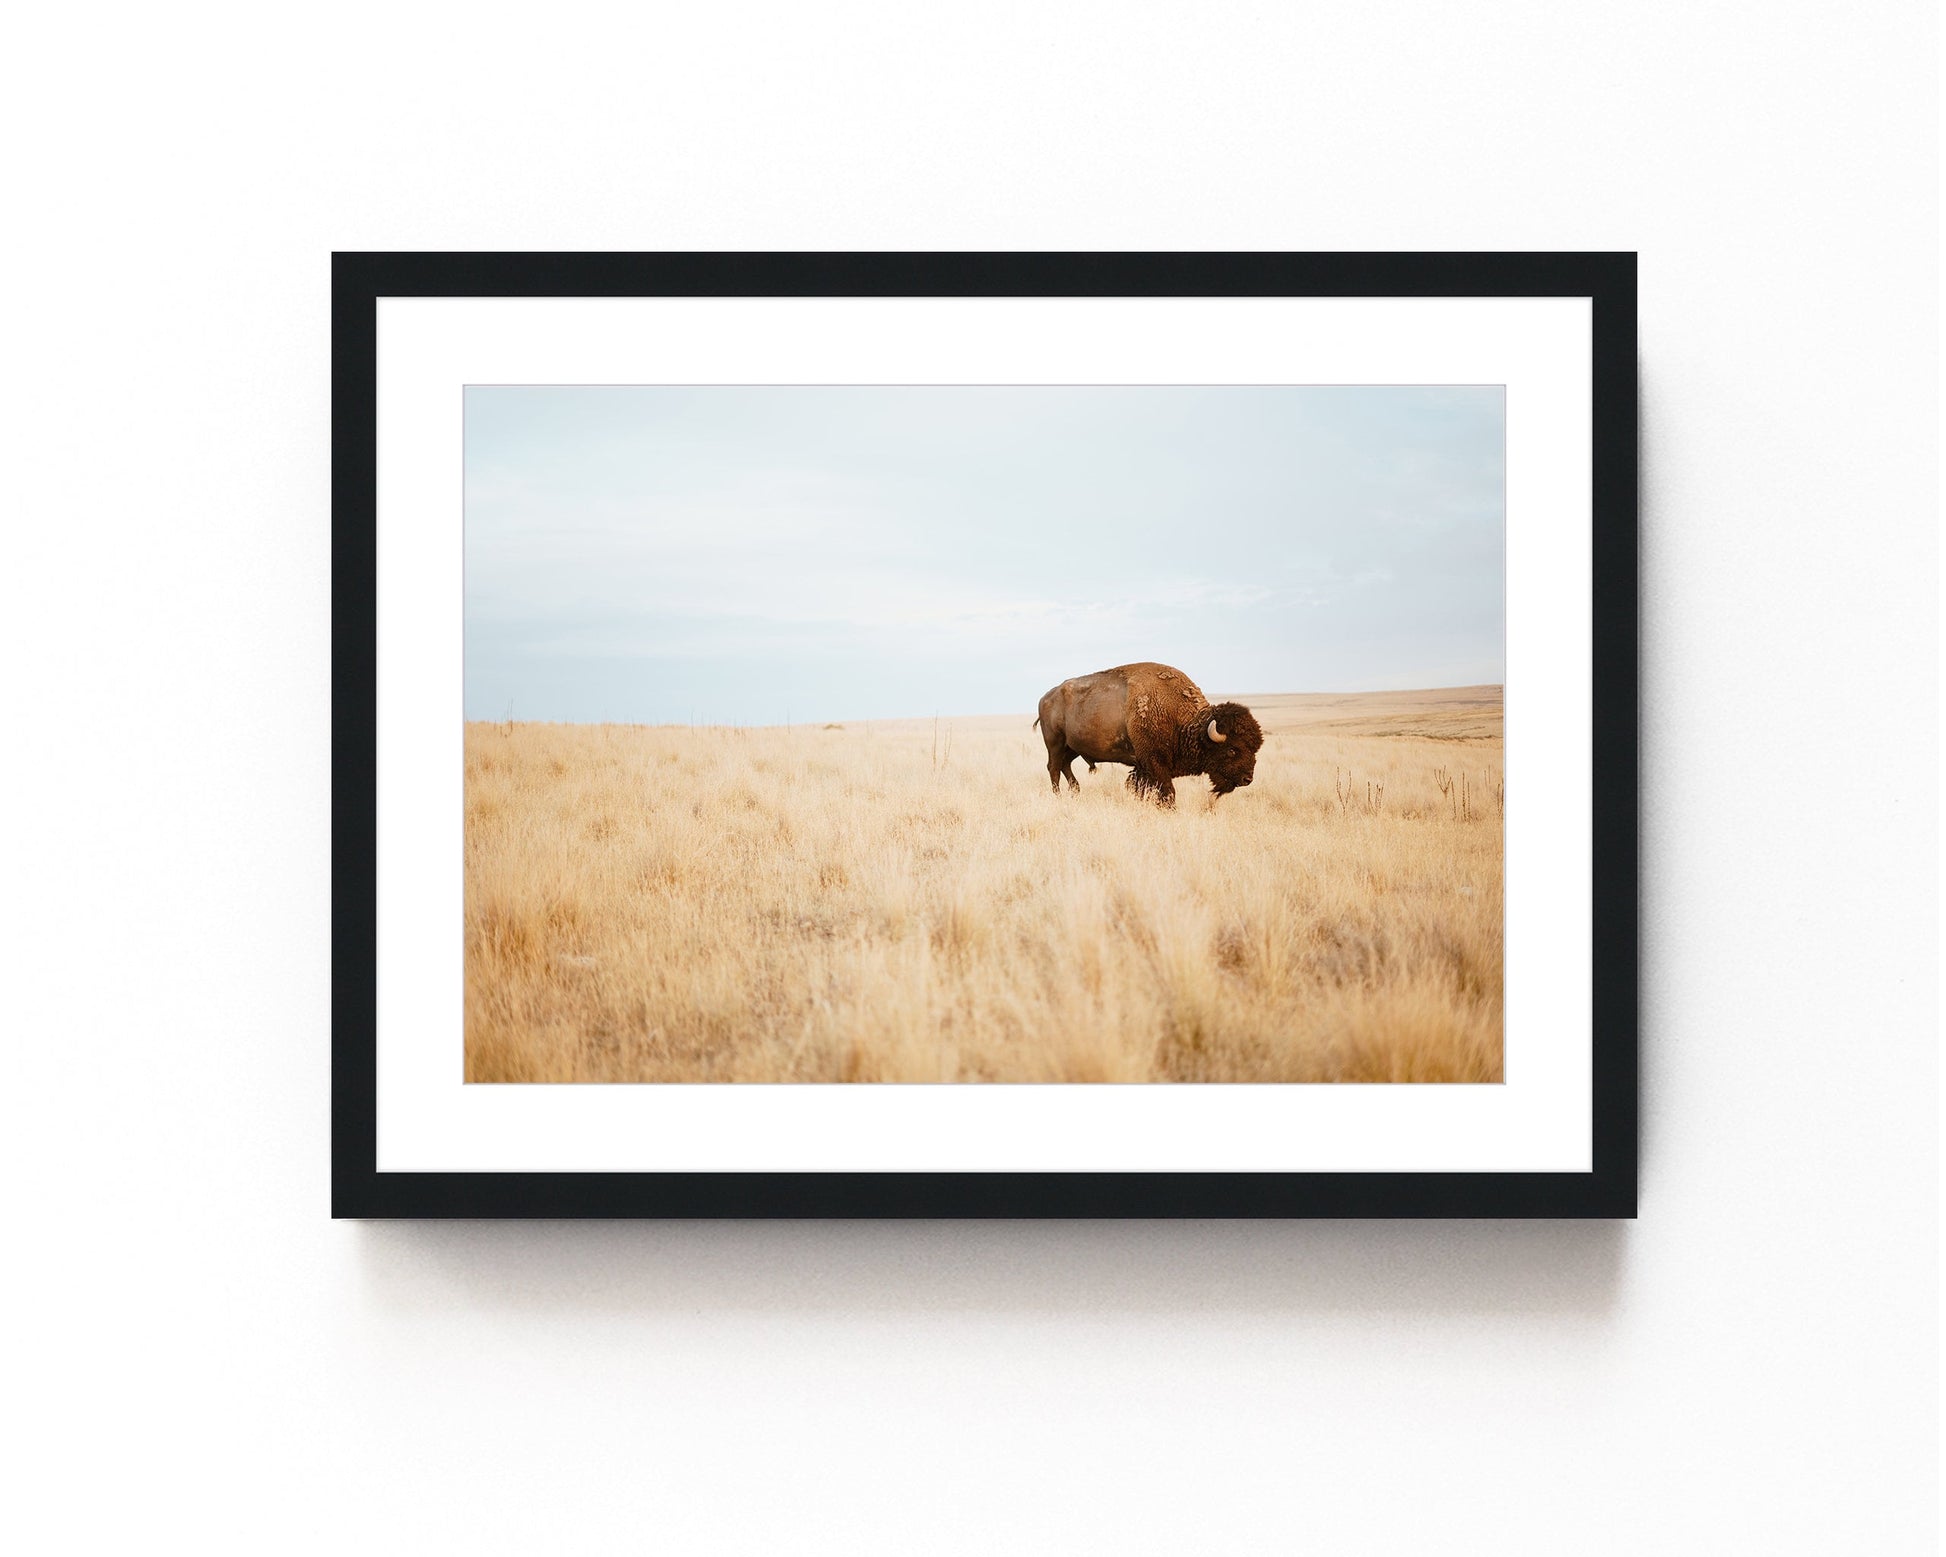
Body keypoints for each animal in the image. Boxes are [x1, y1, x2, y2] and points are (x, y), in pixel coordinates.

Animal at [1035, 661, 1261, 809]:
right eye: (1232, 749)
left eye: (1255, 749)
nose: (1247, 778)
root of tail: (1045, 697)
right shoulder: (1155, 762)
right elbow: (1167, 791)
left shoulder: (1143, 767)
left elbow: (1140, 787)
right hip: (1055, 744)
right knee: (1054, 768)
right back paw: (1059, 796)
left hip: (1072, 748)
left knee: (1065, 766)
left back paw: (1076, 792)